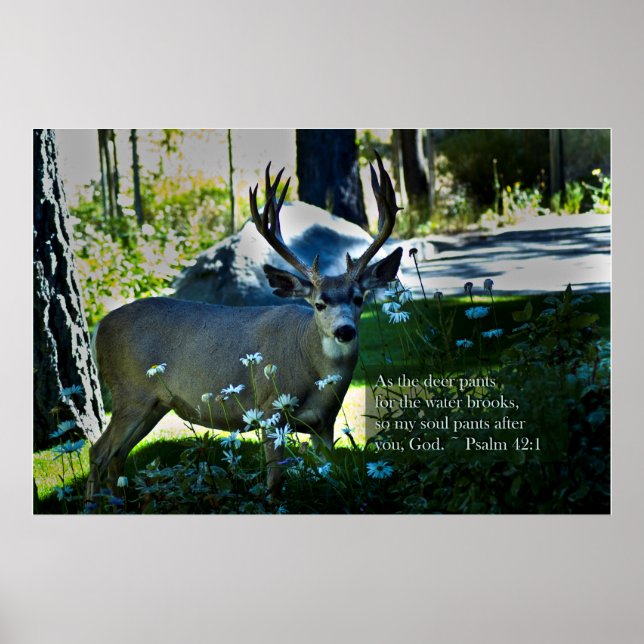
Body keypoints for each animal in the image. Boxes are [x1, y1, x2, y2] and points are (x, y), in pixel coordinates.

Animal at [85, 153, 403, 502]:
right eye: (319, 304)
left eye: (359, 299)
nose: (345, 331)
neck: (311, 363)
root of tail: (98, 328)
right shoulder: (269, 410)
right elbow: (275, 482)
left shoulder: (326, 423)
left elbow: (332, 476)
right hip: (130, 392)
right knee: (98, 452)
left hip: (153, 404)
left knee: (117, 456)